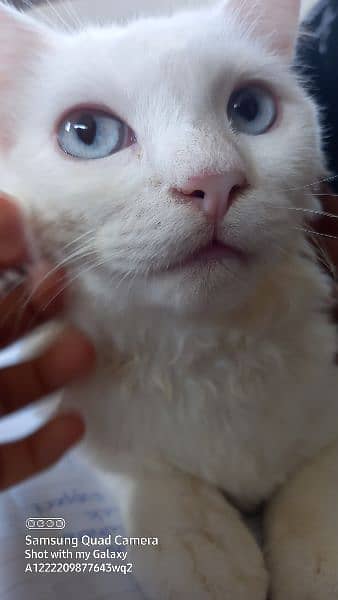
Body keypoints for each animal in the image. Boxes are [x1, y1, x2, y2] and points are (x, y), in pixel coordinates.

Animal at [0, 0, 338, 596]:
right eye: (88, 134)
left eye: (249, 109)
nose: (215, 181)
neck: (208, 351)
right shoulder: (74, 400)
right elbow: (140, 466)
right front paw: (202, 549)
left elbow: (319, 478)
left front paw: (316, 559)